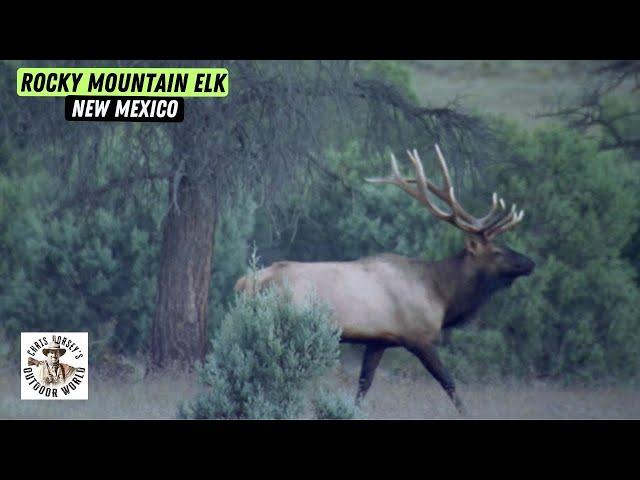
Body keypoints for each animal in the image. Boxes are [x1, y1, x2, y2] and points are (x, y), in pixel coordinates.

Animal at [235, 144, 536, 414]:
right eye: (497, 251)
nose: (530, 263)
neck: (440, 295)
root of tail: (245, 283)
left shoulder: (378, 340)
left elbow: (363, 386)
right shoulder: (418, 337)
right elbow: (449, 383)